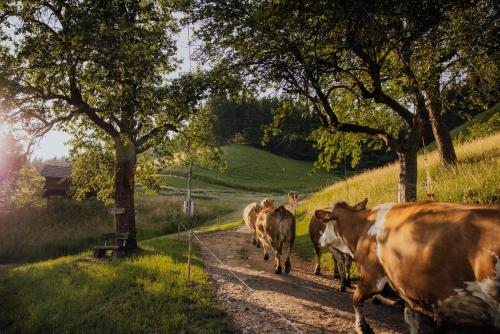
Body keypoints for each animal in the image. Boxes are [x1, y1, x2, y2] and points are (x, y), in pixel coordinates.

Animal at [316, 201, 500, 334]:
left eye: (326, 224)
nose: (320, 240)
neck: (363, 228)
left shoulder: (371, 276)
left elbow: (356, 299)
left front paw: (362, 327)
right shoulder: (407, 287)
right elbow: (411, 320)